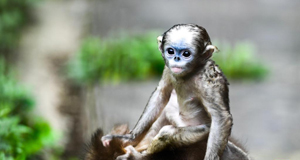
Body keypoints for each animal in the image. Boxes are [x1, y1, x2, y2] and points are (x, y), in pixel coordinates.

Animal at [101, 24, 248, 160]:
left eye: (186, 54)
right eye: (170, 51)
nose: (176, 58)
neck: (191, 72)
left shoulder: (209, 80)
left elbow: (221, 116)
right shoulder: (168, 68)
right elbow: (161, 93)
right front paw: (129, 138)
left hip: (202, 133)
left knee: (167, 132)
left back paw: (140, 156)